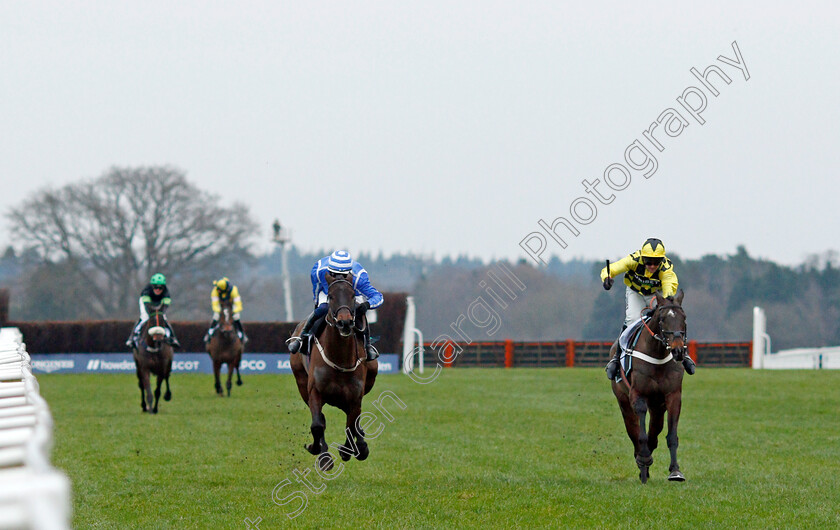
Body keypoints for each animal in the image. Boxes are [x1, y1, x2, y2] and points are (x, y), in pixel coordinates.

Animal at [290, 272, 378, 470]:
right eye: (330, 296)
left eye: (353, 296)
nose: (345, 322)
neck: (340, 358)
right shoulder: (314, 391)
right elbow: (317, 424)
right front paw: (322, 455)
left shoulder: (355, 396)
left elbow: (351, 424)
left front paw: (352, 449)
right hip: (301, 382)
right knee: (321, 418)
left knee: (354, 421)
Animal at [612, 288, 688, 482]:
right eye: (662, 319)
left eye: (684, 318)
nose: (678, 350)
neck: (658, 355)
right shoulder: (637, 395)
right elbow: (641, 434)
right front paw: (644, 459)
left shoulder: (673, 396)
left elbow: (671, 435)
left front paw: (675, 471)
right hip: (623, 401)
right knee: (633, 431)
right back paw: (642, 462)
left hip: (657, 406)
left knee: (655, 431)